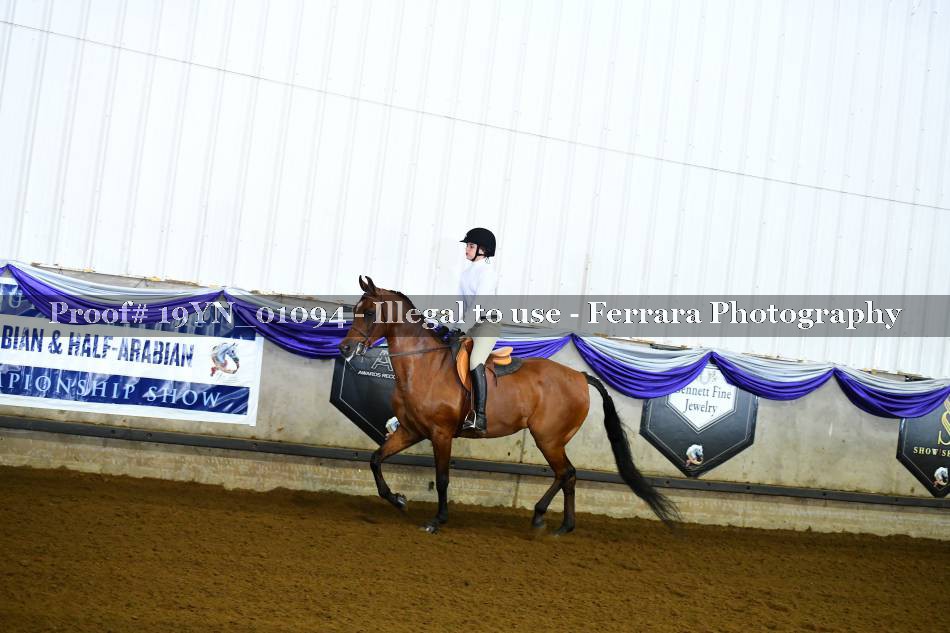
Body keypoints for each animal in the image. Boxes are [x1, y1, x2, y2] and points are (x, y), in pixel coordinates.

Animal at [338, 276, 680, 534]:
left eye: (370, 313)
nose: (344, 349)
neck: (423, 366)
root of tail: (580, 377)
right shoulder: (411, 430)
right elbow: (375, 460)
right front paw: (398, 499)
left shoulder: (440, 434)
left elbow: (443, 479)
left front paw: (437, 520)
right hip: (552, 439)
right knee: (567, 475)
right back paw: (558, 523)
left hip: (548, 438)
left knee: (566, 472)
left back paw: (549, 520)